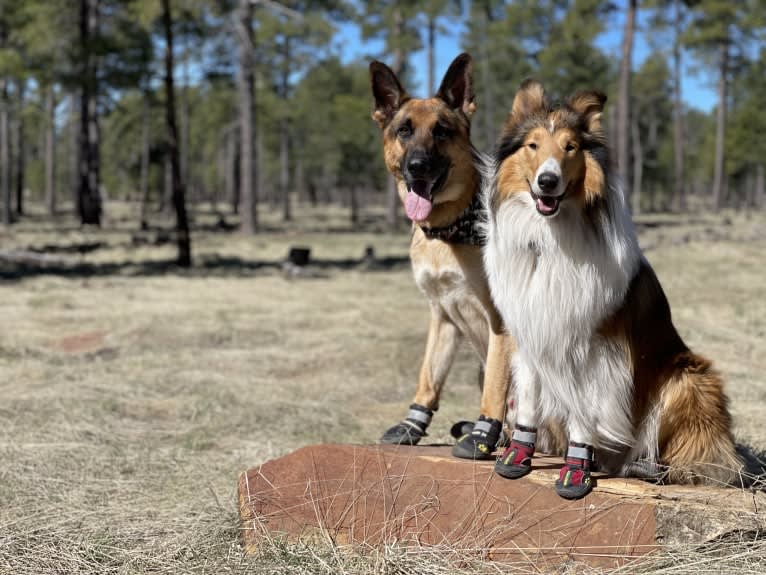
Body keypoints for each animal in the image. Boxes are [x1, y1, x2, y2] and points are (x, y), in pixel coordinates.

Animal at [368, 53, 568, 460]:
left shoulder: (500, 322)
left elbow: (494, 385)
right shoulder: (442, 314)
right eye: (404, 131)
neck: (447, 228)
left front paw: (480, 434)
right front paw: (412, 425)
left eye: (442, 131)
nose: (417, 166)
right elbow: (429, 375)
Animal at [486, 80, 744, 500]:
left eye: (570, 147)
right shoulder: (532, 333)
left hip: (689, 379)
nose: (547, 181)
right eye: (533, 145)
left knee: (692, 460)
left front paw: (576, 469)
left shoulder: (593, 349)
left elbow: (584, 411)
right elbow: (527, 401)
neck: (551, 241)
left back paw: (647, 467)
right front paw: (517, 454)